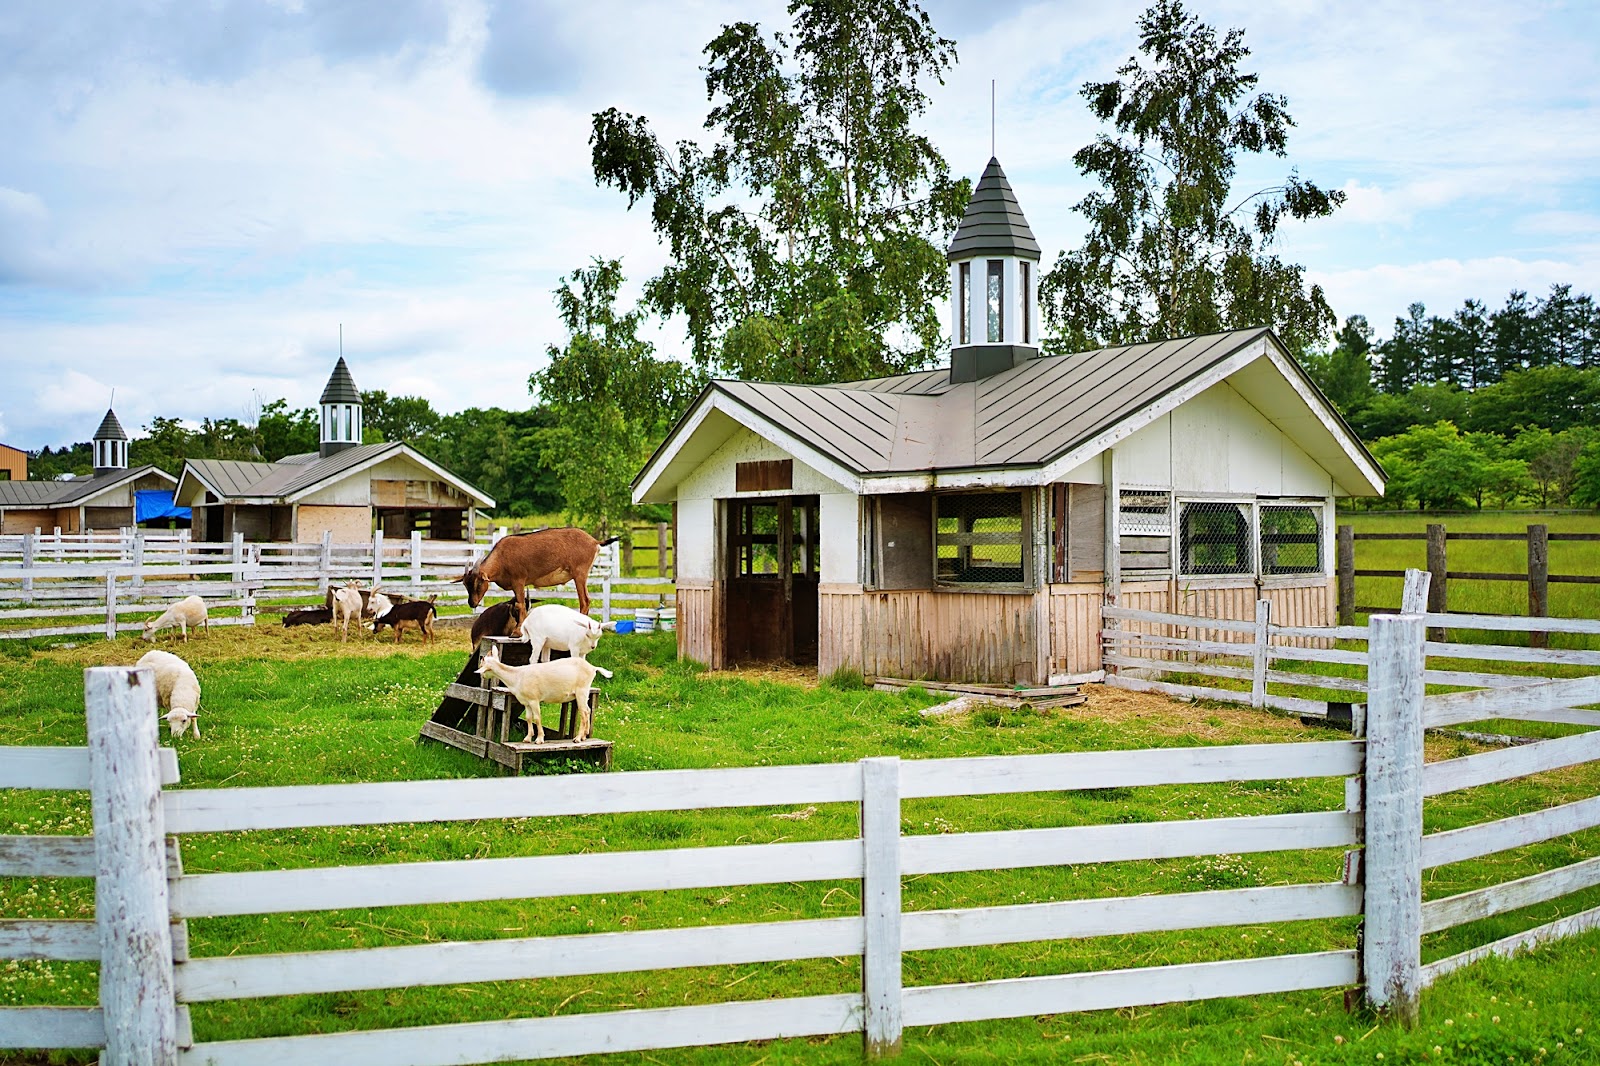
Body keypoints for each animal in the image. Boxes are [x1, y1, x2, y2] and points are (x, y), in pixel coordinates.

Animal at [460, 524, 620, 614]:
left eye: (479, 583)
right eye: (465, 584)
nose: (472, 603)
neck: (502, 557)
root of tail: (594, 541)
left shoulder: (519, 581)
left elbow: (521, 605)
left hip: (580, 574)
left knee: (585, 601)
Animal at [473, 640, 611, 739]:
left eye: (482, 664)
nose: (481, 675)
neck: (517, 676)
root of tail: (593, 668)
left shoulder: (534, 699)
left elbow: (537, 718)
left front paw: (539, 739)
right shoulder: (526, 701)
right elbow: (529, 718)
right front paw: (528, 738)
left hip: (581, 690)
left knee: (584, 712)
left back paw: (577, 738)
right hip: (584, 693)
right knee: (588, 710)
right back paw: (584, 735)